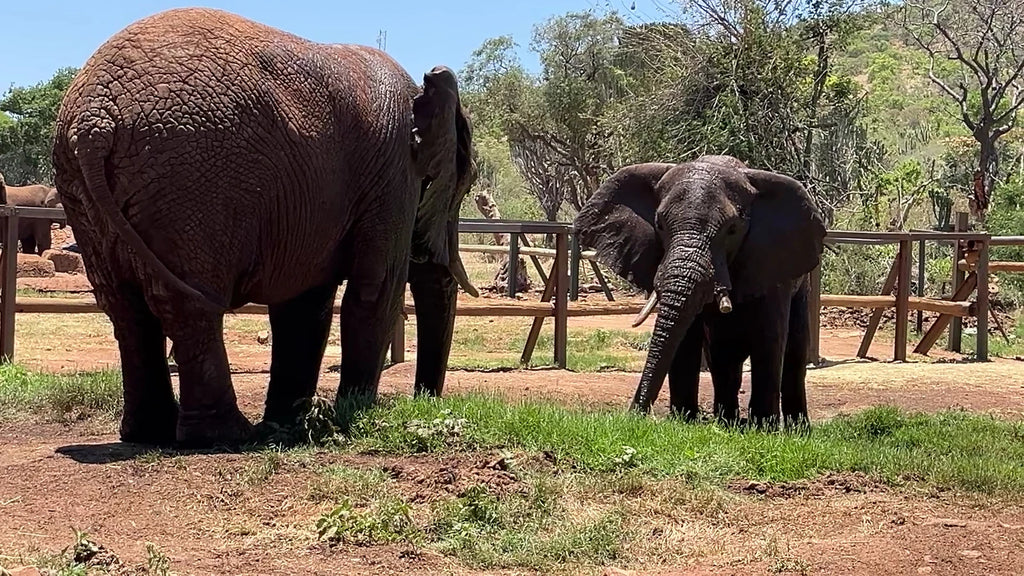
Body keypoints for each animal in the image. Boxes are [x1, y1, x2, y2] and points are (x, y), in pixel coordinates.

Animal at [52, 8, 478, 447]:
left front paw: (288, 423)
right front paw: (353, 413)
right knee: (186, 304)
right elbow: (376, 290)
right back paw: (224, 435)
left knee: (125, 308)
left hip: (85, 192)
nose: (424, 400)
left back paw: (149, 433)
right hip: (192, 183)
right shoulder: (393, 176)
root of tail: (93, 123)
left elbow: (305, 305)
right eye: (467, 182)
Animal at [574, 155, 826, 427]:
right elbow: (684, 338)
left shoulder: (770, 264)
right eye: (659, 225)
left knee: (794, 353)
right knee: (723, 357)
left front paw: (763, 429)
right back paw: (727, 422)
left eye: (732, 230)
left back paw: (794, 429)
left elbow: (768, 338)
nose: (634, 415)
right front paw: (683, 421)